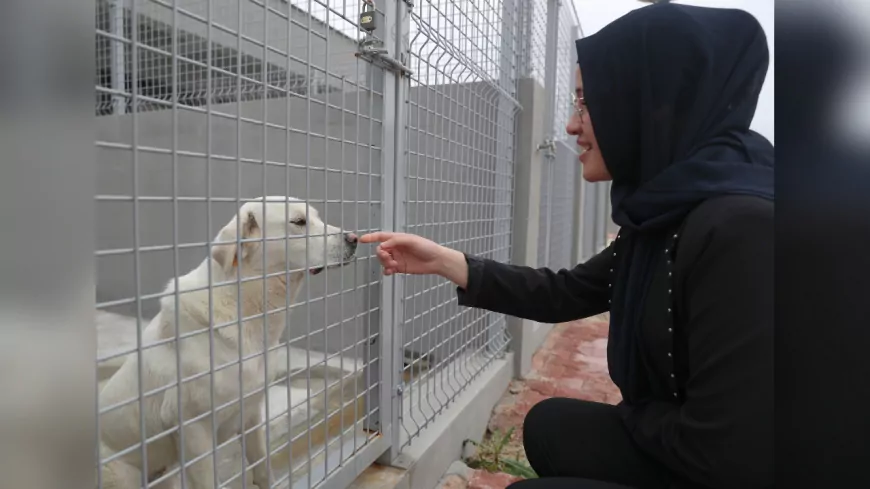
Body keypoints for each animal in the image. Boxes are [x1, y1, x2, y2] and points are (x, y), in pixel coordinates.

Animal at [100, 196, 360, 486]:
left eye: (316, 217)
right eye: (299, 222)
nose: (355, 238)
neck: (245, 306)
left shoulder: (252, 414)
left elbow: (263, 468)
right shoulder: (193, 428)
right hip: (125, 474)